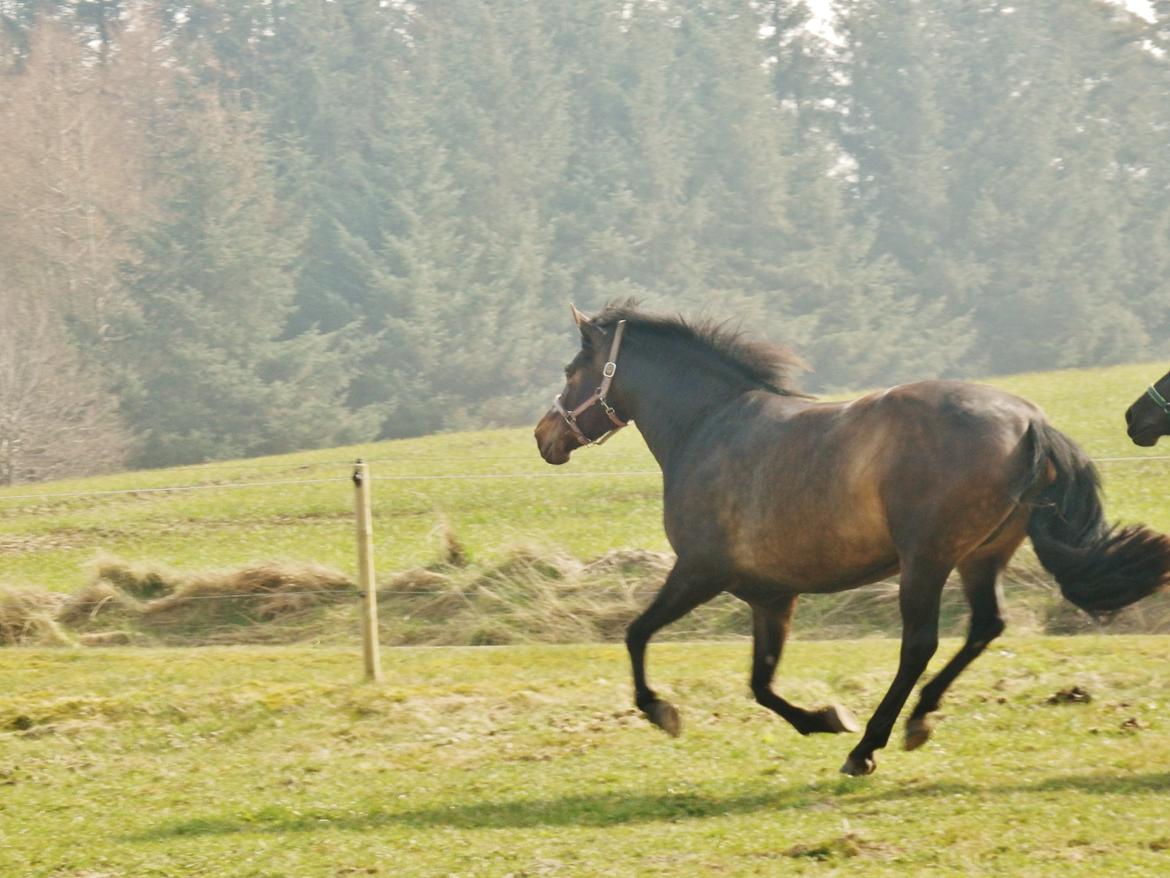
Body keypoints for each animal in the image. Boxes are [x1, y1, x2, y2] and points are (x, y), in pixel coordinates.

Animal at [535, 304, 1170, 777]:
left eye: (570, 370)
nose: (544, 437)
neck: (708, 426)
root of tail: (1029, 421)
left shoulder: (698, 570)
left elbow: (637, 634)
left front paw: (661, 710)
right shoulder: (770, 595)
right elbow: (761, 683)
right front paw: (822, 717)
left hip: (926, 560)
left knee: (920, 644)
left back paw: (868, 746)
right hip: (980, 557)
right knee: (986, 627)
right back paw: (918, 719)